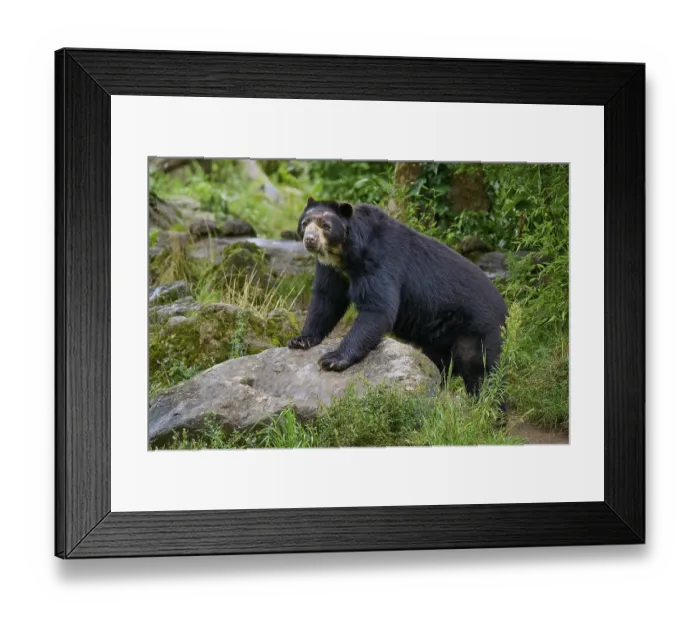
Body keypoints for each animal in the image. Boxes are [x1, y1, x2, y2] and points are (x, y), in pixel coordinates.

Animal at [287, 198, 508, 395]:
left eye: (325, 226)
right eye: (305, 223)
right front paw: (301, 340)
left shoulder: (379, 261)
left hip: (477, 329)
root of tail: (505, 309)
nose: (310, 240)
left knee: (481, 370)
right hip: (441, 336)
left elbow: (378, 308)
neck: (346, 255)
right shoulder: (332, 270)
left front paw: (332, 359)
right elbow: (326, 299)